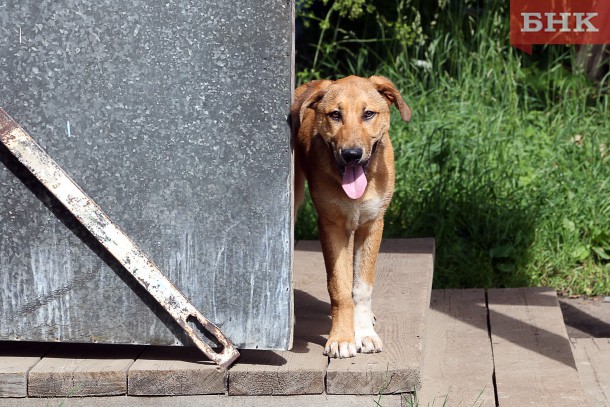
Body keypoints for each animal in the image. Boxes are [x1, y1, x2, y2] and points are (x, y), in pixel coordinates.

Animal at [288, 75, 408, 358]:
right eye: (335, 114)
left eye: (368, 114)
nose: (352, 155)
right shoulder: (331, 226)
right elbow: (340, 288)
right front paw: (342, 338)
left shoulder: (372, 225)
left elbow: (362, 287)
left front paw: (364, 333)